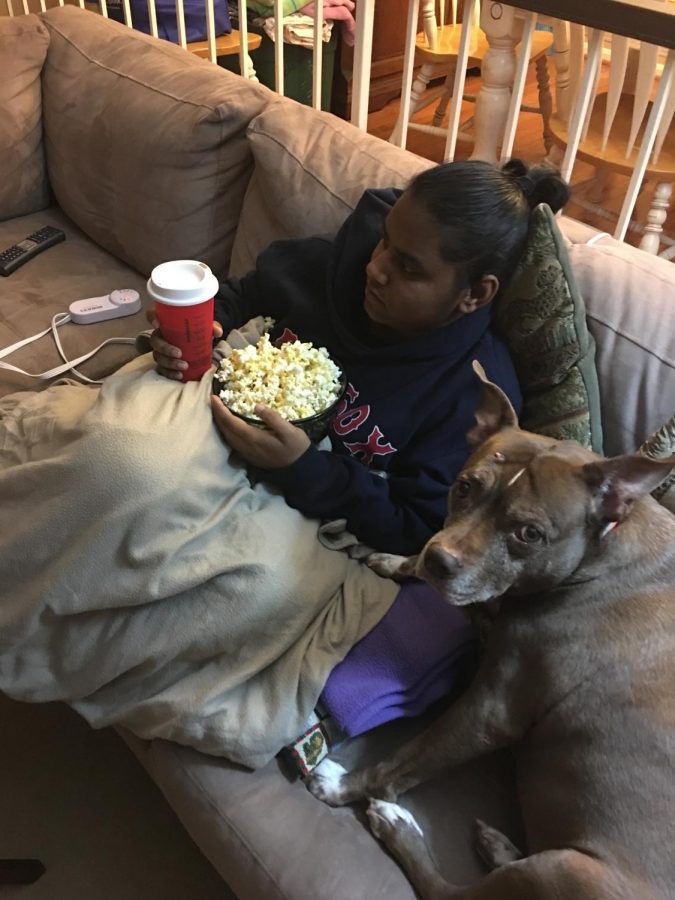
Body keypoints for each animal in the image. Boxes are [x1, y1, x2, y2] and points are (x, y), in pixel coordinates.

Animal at [308, 362, 675, 896]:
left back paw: (399, 828)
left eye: (529, 534)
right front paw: (399, 560)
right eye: (464, 487)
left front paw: (341, 786)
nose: (441, 562)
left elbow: (404, 761)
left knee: (448, 892)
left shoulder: (489, 710)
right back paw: (498, 846)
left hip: (564, 869)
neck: (598, 551)